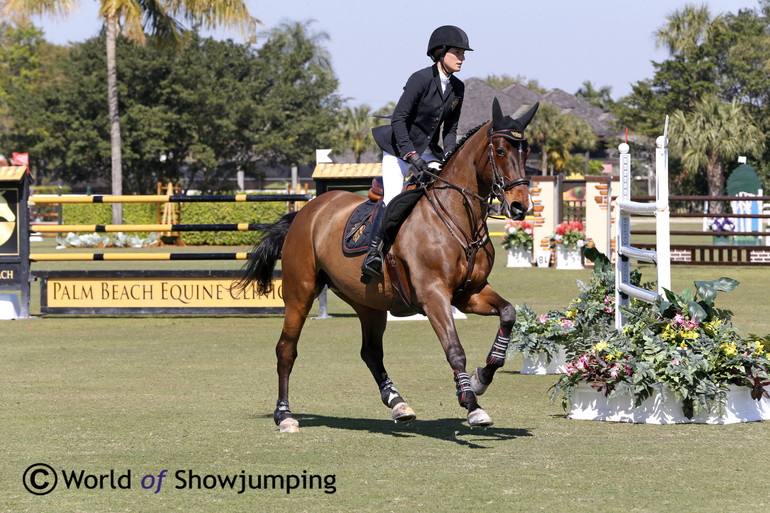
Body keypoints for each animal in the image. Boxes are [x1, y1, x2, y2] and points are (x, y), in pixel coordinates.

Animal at [237, 97, 536, 432]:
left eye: (527, 151)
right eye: (500, 151)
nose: (520, 206)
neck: (459, 219)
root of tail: (307, 211)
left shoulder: (469, 293)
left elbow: (508, 314)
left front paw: (480, 379)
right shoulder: (434, 296)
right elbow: (454, 349)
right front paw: (472, 405)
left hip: (369, 303)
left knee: (371, 352)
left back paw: (398, 403)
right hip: (300, 293)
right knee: (286, 349)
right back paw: (285, 415)